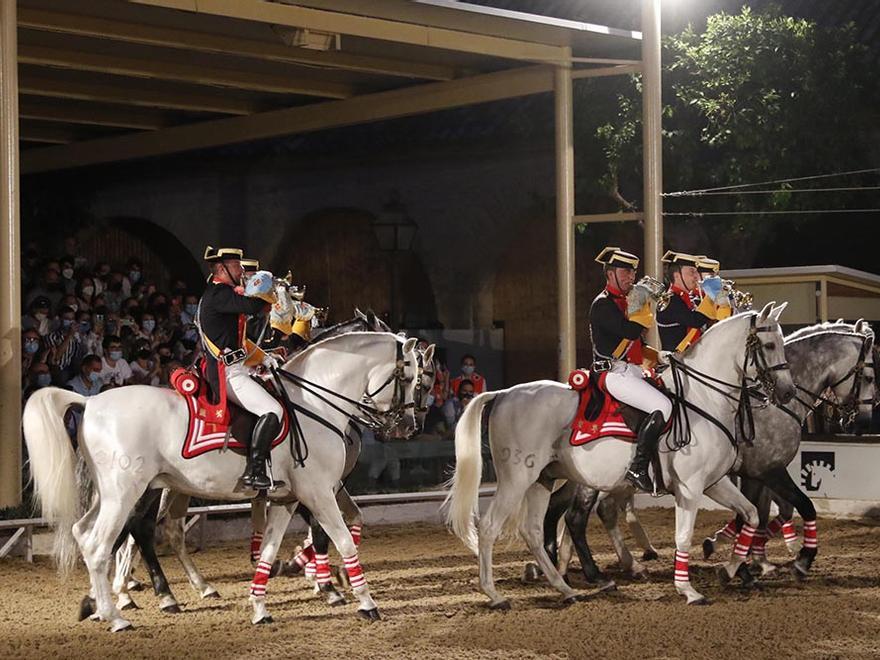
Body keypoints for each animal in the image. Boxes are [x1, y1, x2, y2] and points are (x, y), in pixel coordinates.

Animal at [26, 330, 422, 628]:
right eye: (408, 378)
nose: (408, 426)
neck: (313, 404)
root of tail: (91, 402)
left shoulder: (288, 499)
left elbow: (269, 549)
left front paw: (261, 607)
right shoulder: (320, 493)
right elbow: (343, 541)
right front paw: (364, 602)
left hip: (115, 493)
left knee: (86, 532)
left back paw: (104, 602)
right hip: (126, 493)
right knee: (102, 543)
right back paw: (118, 615)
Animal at [444, 302, 796, 604]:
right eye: (768, 346)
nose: (788, 392)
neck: (702, 399)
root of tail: (503, 393)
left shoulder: (714, 483)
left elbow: (750, 514)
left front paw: (732, 568)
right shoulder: (690, 487)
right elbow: (683, 537)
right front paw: (689, 590)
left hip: (543, 478)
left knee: (533, 530)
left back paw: (565, 589)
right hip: (518, 478)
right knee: (491, 526)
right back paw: (495, 595)